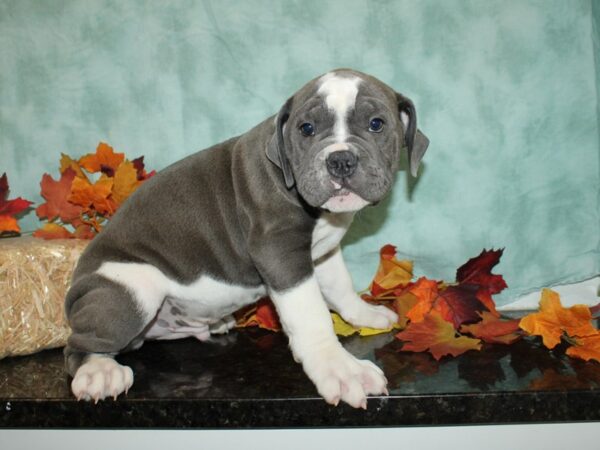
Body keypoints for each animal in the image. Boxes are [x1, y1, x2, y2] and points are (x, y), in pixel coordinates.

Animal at [65, 68, 428, 410]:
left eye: (376, 124)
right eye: (306, 129)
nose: (340, 160)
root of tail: (74, 294)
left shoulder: (321, 252)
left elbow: (340, 286)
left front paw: (364, 314)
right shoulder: (280, 253)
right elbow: (312, 316)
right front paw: (340, 369)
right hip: (133, 290)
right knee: (81, 345)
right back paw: (99, 371)